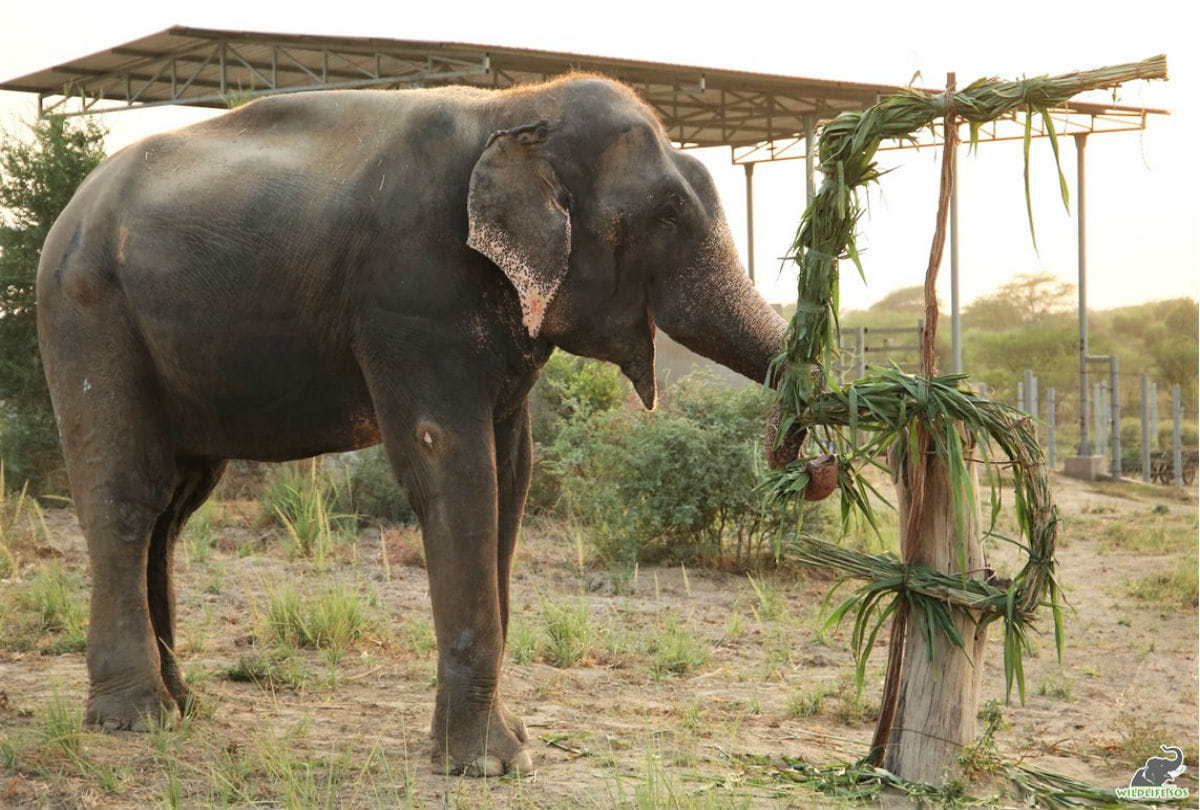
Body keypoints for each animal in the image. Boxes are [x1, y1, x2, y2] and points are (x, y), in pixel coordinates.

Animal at [36, 74, 800, 777]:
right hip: (89, 312)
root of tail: (68, 215)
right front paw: (489, 766)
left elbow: (512, 478)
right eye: (668, 215)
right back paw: (137, 720)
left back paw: (186, 705)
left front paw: (508, 747)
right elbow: (452, 467)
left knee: (175, 510)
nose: (804, 465)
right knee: (128, 498)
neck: (514, 109)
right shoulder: (413, 295)